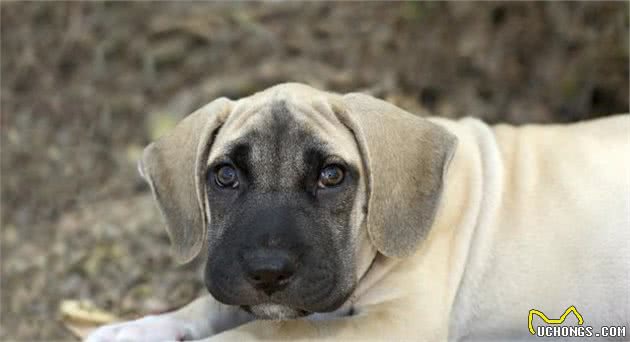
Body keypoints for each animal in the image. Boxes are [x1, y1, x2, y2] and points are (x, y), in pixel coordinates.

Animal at [86, 83, 628, 342]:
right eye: (225, 176)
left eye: (332, 175)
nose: (267, 271)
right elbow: (212, 304)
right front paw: (138, 328)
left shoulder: (397, 321)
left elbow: (273, 329)